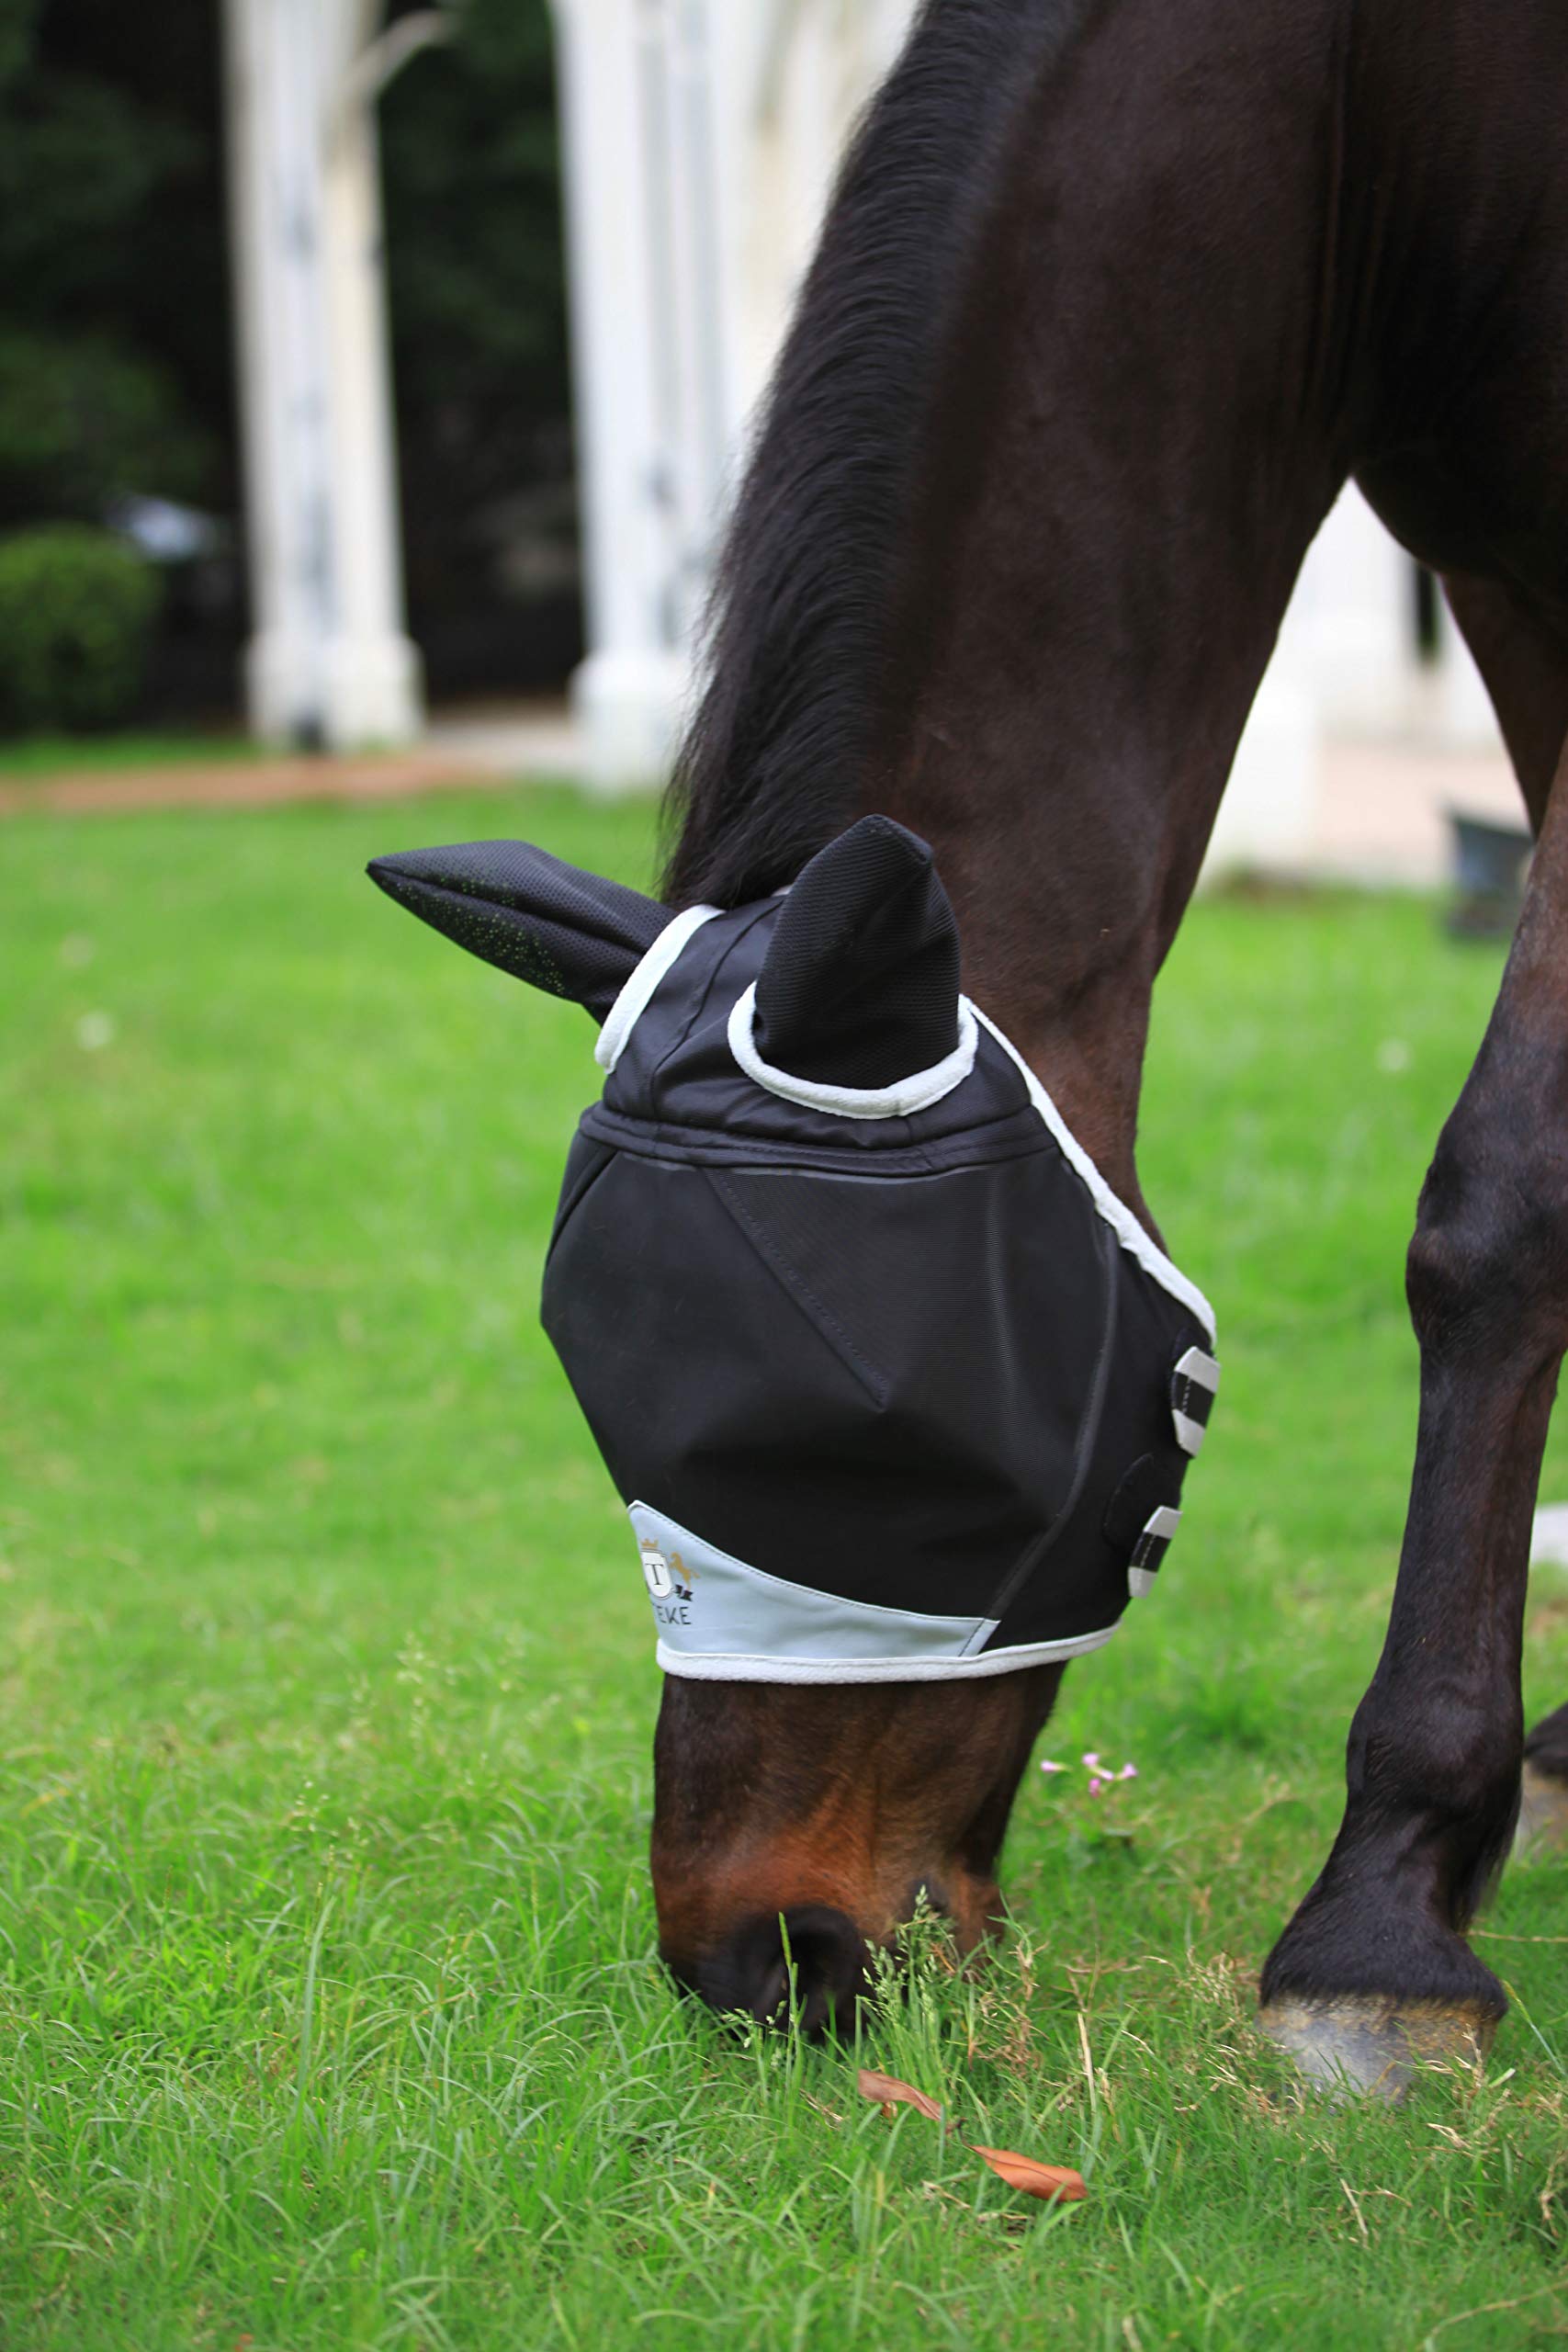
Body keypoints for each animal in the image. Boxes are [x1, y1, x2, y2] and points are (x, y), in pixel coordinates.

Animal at [638, 0, 1568, 2091]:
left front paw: (1383, 1908)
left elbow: (1505, 1200)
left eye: (883, 1447)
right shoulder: (1514, 578)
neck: (1392, 97)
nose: (749, 1951)